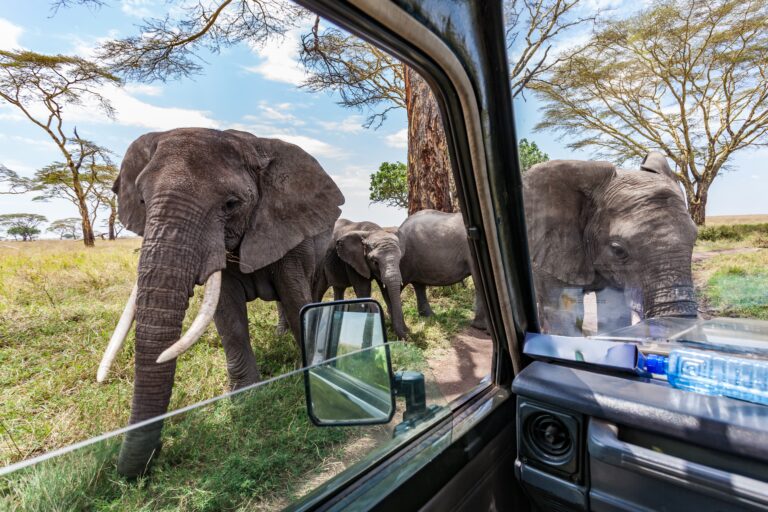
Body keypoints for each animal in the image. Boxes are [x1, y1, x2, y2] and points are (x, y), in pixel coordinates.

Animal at [96, 127, 344, 478]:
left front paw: (311, 374)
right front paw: (246, 398)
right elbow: (228, 317)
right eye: (142, 201)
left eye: (231, 204)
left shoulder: (287, 228)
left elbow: (296, 297)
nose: (157, 453)